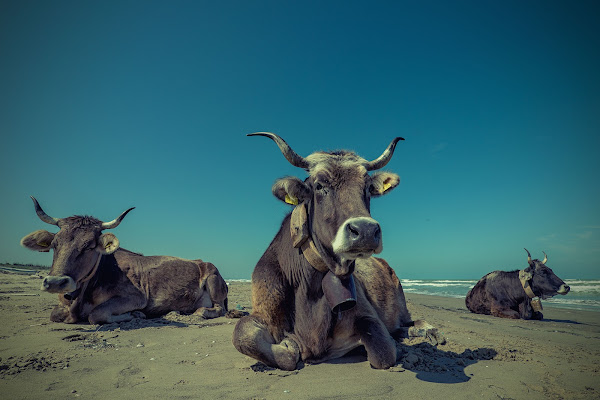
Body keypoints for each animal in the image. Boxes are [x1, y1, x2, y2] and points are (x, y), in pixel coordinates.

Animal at [19, 197, 229, 324]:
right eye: (55, 244)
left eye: (89, 246)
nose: (56, 282)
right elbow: (55, 314)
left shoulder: (136, 297)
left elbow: (96, 315)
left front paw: (137, 314)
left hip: (213, 279)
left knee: (217, 308)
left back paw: (197, 312)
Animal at [232, 133, 442, 370]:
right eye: (319, 185)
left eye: (368, 188)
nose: (365, 230)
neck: (309, 290)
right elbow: (243, 335)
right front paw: (289, 345)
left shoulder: (367, 315)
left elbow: (383, 352)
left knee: (409, 322)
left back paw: (430, 331)